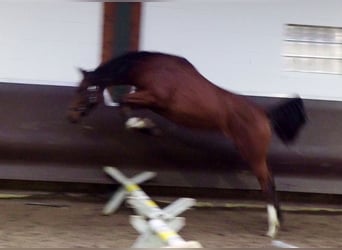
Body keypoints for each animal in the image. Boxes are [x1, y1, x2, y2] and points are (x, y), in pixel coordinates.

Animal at [67, 50, 308, 236]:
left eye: (82, 90)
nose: (71, 116)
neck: (151, 68)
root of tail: (264, 115)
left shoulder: (153, 97)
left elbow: (124, 105)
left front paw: (147, 126)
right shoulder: (148, 100)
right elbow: (125, 108)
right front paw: (147, 126)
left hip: (252, 153)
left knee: (266, 183)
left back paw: (272, 228)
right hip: (256, 155)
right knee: (271, 180)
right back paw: (278, 222)